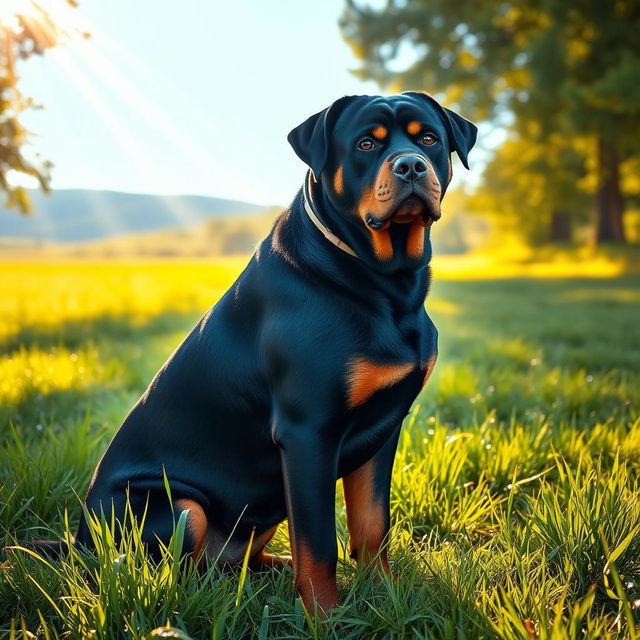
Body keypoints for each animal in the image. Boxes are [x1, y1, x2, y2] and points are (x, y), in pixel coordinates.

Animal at [33, 91, 476, 616]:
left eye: (428, 138)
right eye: (367, 143)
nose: (410, 165)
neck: (385, 283)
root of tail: (77, 541)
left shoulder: (385, 425)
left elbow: (371, 526)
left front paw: (383, 597)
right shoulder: (308, 431)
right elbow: (319, 544)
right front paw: (327, 617)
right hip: (178, 508)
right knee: (180, 570)